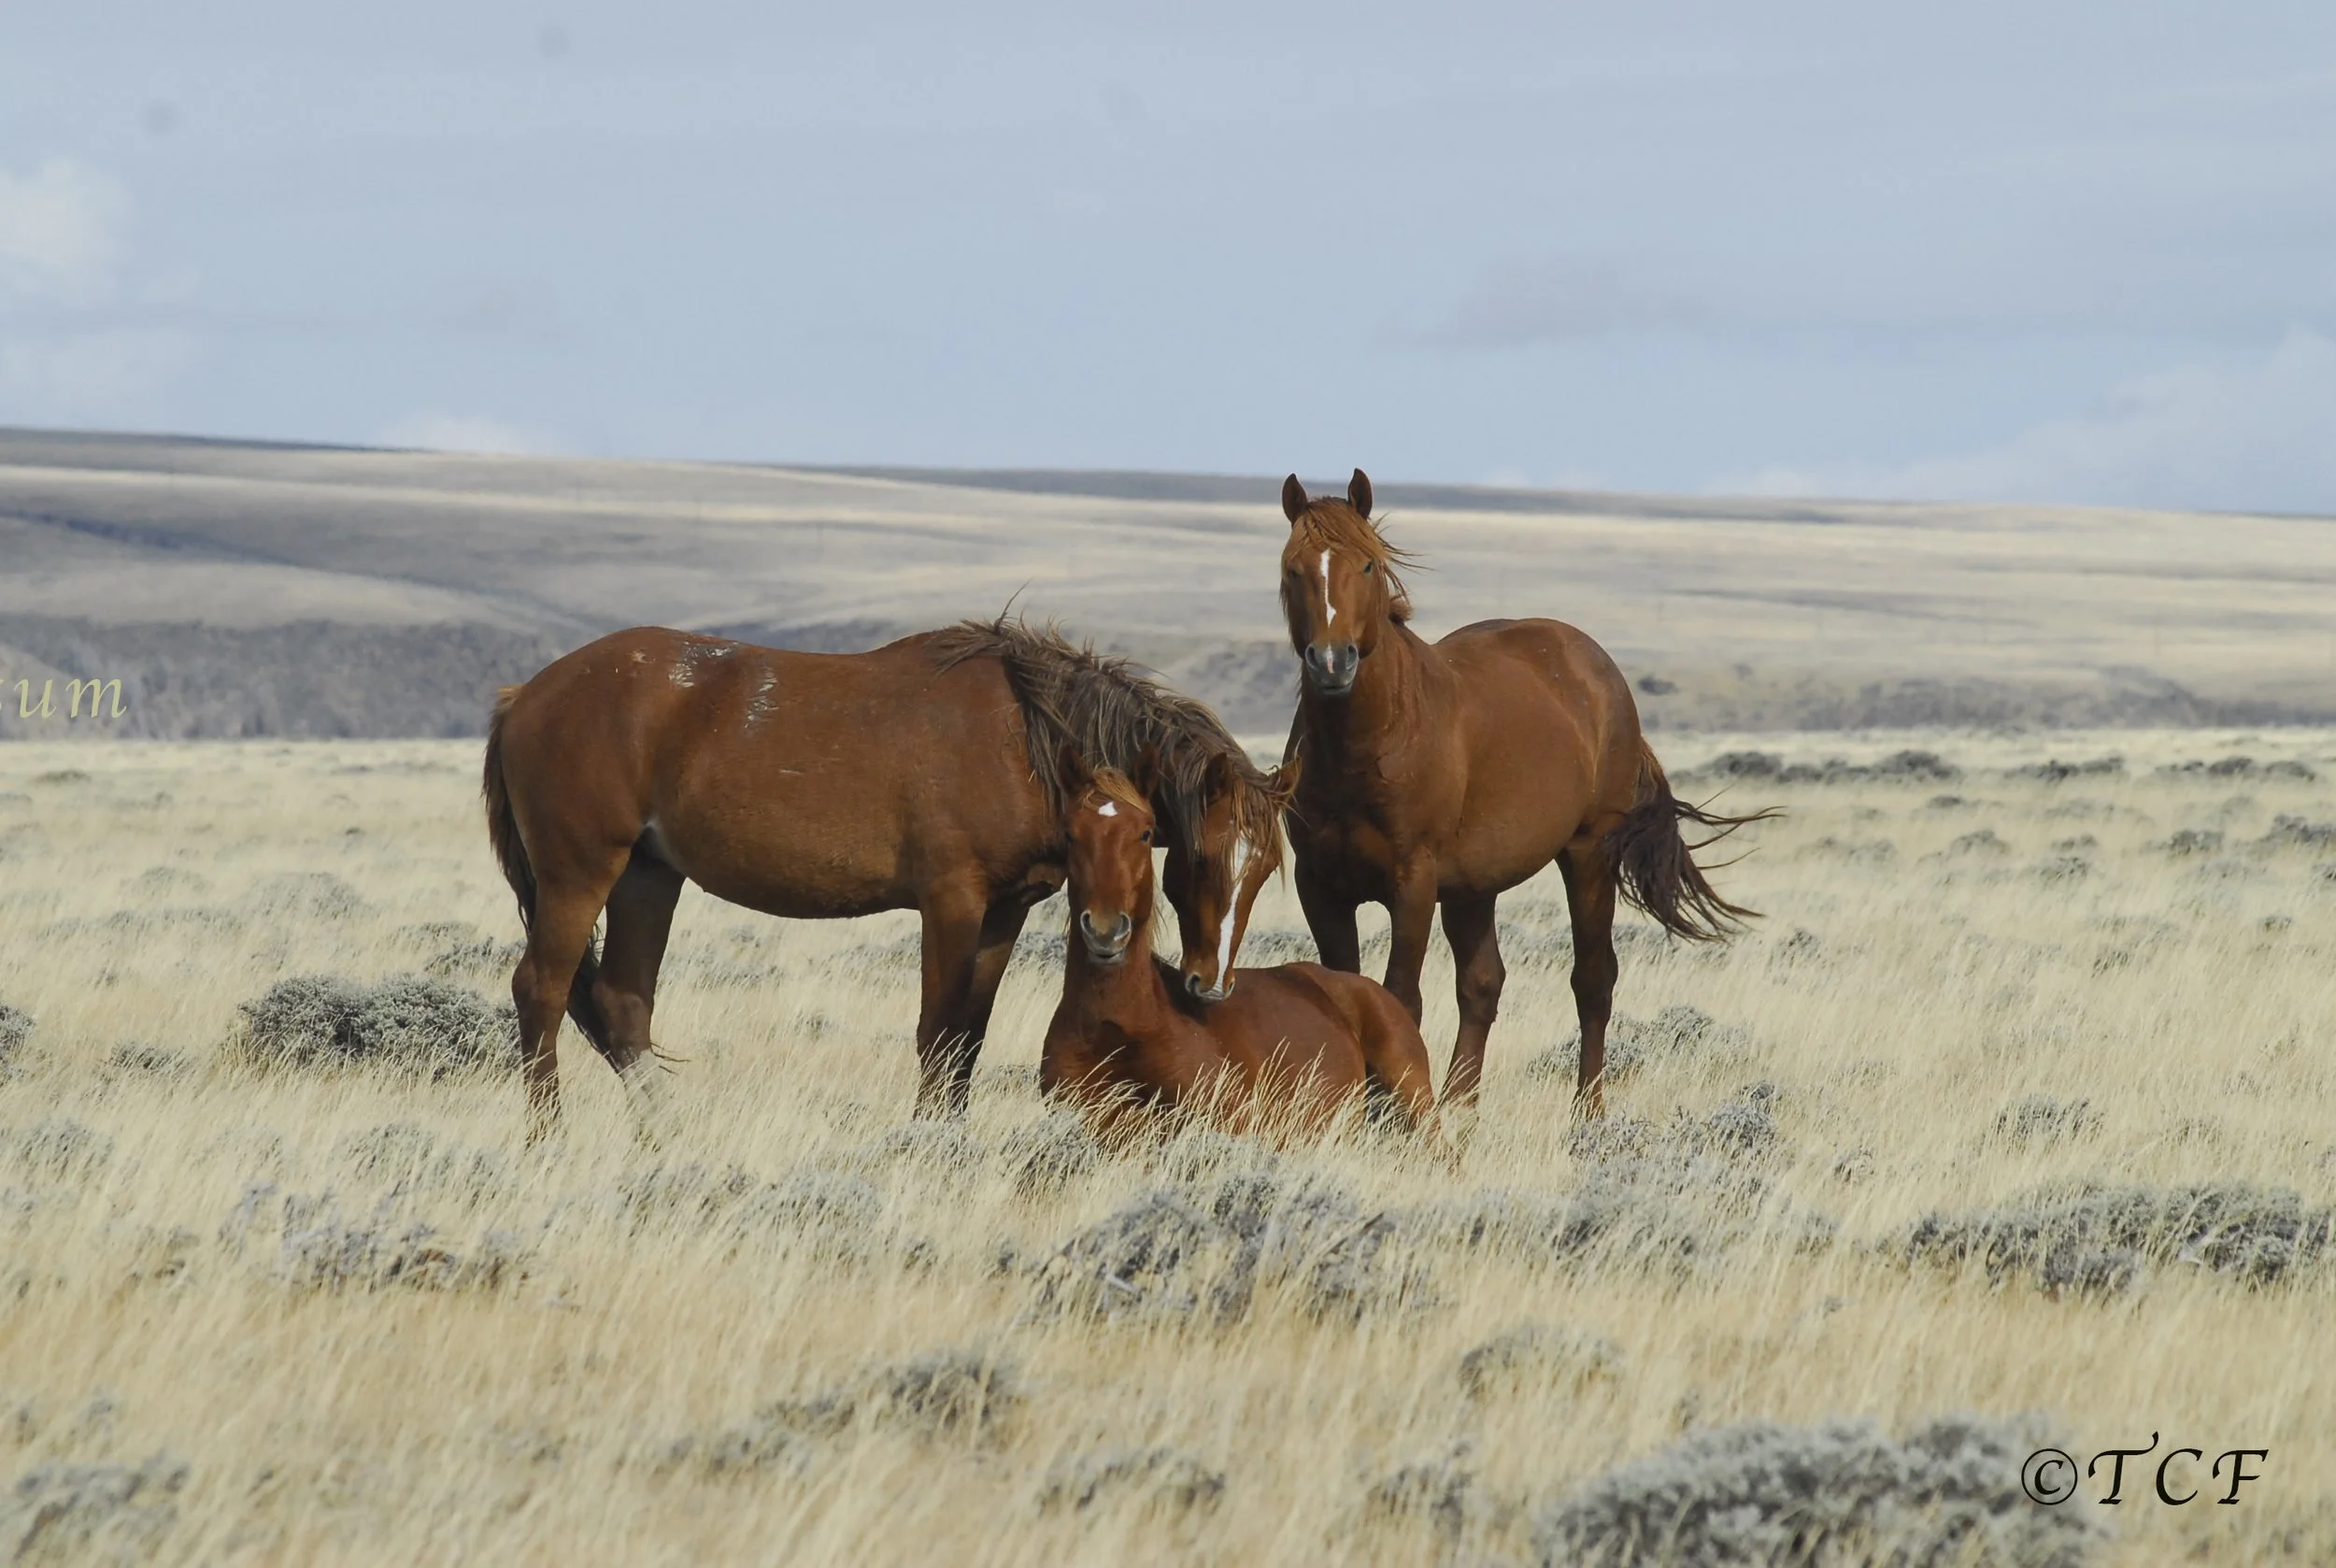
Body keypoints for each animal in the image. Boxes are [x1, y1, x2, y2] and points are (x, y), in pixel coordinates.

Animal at [482, 615, 1285, 1135]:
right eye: (1201, 854)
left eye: (1268, 866)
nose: (1211, 984)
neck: (1021, 739)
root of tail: (525, 695)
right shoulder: (951, 901)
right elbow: (937, 1031)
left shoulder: (1006, 910)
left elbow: (968, 1038)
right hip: (579, 875)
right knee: (542, 990)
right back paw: (549, 1138)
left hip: (648, 877)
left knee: (622, 1002)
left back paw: (666, 1136)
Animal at [1275, 470, 1771, 1116]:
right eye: (1292, 568)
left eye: (1366, 565)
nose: (1333, 663)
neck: (1366, 746)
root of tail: (1596, 667)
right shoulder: (1321, 886)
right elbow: (1347, 990)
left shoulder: (1412, 883)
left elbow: (1400, 998)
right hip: (1472, 886)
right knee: (1482, 984)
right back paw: (1462, 1105)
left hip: (1587, 856)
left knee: (1593, 981)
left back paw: (1587, 1114)